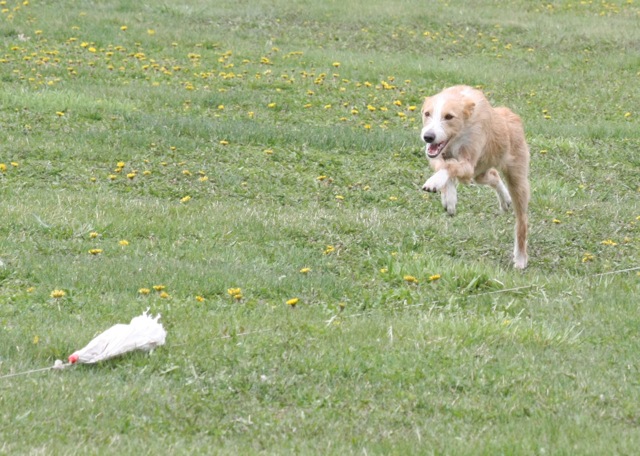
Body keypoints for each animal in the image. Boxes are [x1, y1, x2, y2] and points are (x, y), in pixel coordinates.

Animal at [420, 85, 528, 268]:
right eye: (427, 114)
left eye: (449, 117)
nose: (428, 136)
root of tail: (510, 115)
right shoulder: (435, 155)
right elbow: (444, 166)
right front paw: (449, 197)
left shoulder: (468, 164)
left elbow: (449, 166)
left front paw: (435, 182)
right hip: (480, 174)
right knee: (493, 175)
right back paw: (505, 199)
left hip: (517, 180)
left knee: (522, 222)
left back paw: (520, 258)